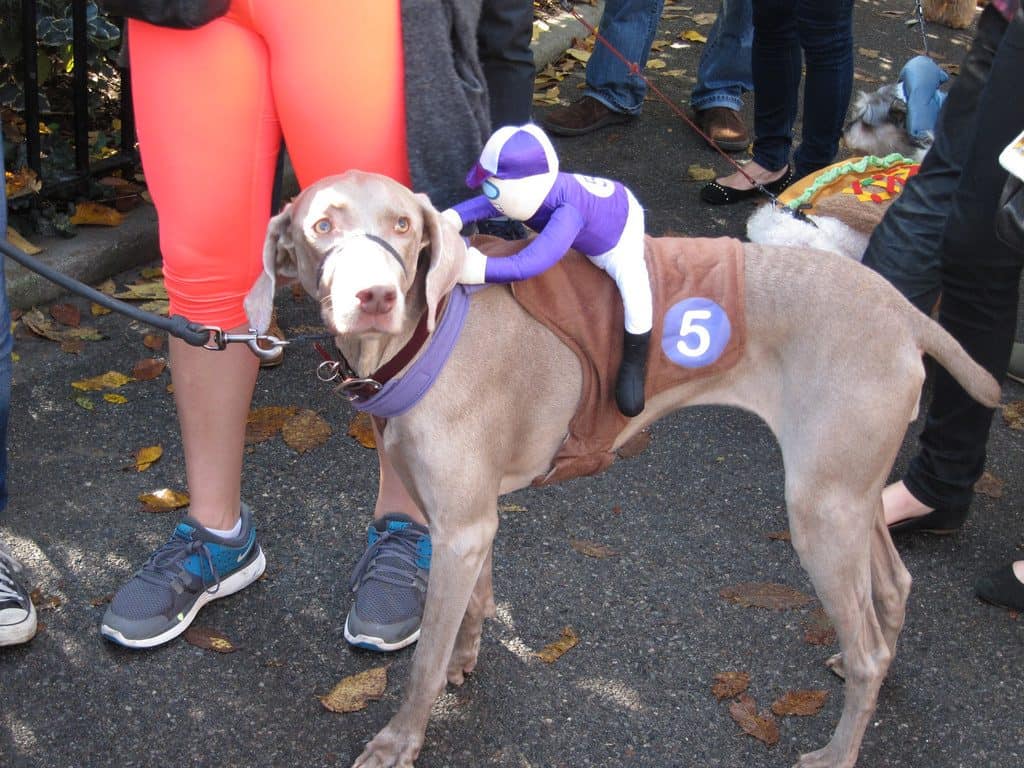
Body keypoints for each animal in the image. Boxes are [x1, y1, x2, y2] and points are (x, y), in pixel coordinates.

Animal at [245, 171, 999, 768]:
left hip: (821, 509)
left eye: (402, 225)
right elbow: (474, 607)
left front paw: (401, 740)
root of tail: (903, 310)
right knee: (893, 588)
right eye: (321, 226)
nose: (373, 297)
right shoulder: (470, 523)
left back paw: (838, 750)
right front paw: (465, 661)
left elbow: (423, 659)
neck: (421, 340)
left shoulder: (460, 527)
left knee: (871, 639)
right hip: (850, 491)